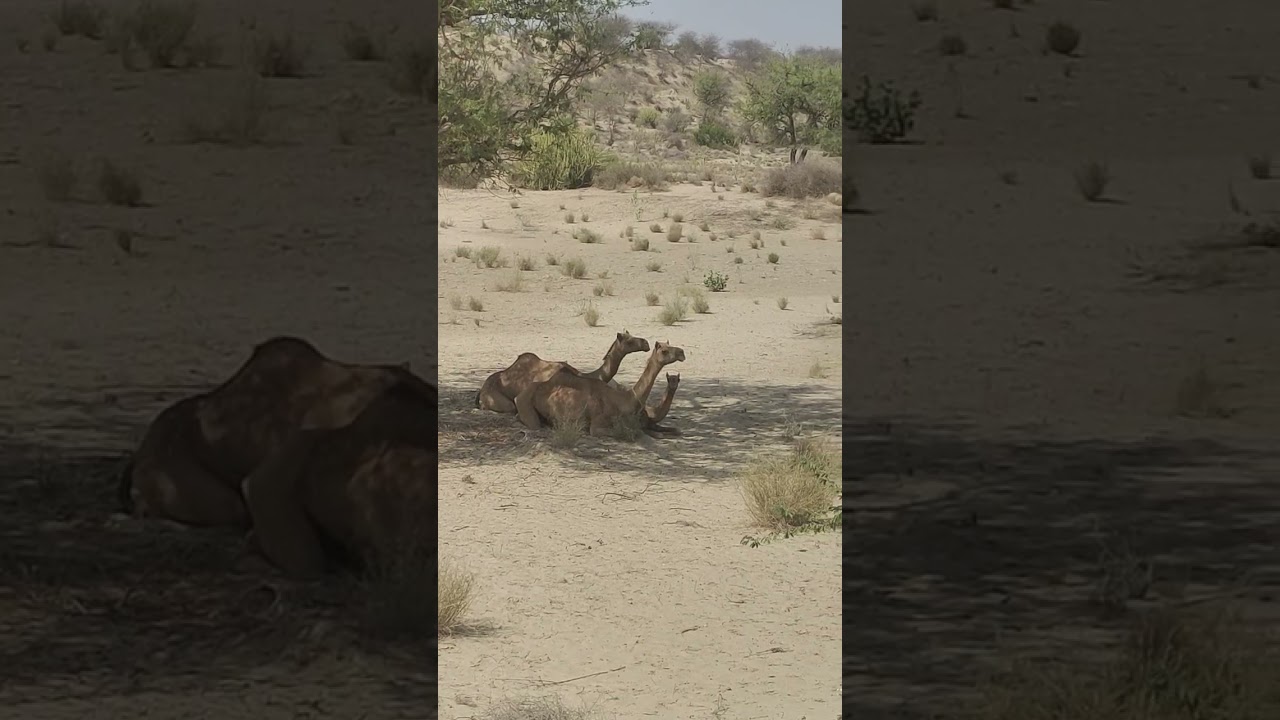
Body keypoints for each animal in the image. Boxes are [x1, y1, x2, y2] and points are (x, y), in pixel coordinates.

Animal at [514, 341, 686, 438]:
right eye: (664, 351)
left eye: (671, 345)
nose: (682, 352)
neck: (622, 400)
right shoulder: (597, 425)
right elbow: (631, 432)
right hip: (526, 402)